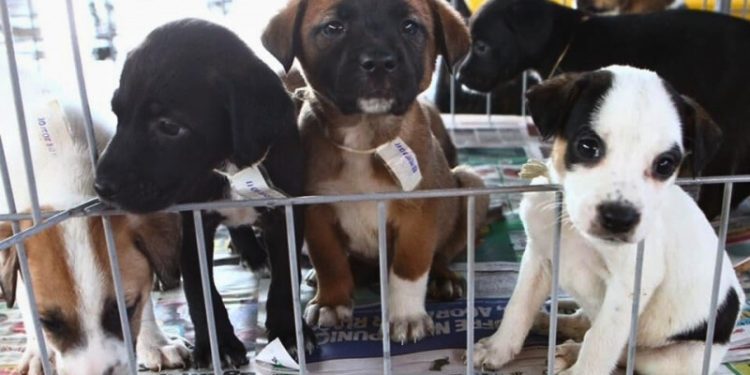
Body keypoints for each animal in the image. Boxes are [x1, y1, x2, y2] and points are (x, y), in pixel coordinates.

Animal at [94, 19, 314, 368]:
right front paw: (218, 345)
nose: (101, 185)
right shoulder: (190, 222)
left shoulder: (285, 211)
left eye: (169, 126)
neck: (229, 166)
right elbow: (201, 292)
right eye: (117, 113)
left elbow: (284, 278)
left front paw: (288, 333)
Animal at [266, 0, 494, 344]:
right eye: (333, 28)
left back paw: (443, 278)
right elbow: (328, 259)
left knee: (441, 254)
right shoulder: (315, 210)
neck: (367, 138)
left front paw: (406, 317)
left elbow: (409, 267)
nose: (378, 63)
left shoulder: (418, 214)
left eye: (410, 27)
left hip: (471, 184)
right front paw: (332, 301)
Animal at [472, 65, 744, 375]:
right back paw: (555, 322)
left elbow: (600, 343)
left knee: (625, 352)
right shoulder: (538, 257)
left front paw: (579, 368)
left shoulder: (628, 288)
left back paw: (570, 351)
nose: (619, 218)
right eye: (588, 146)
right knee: (585, 321)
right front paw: (498, 347)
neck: (574, 229)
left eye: (665, 164)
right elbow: (518, 305)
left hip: (672, 358)